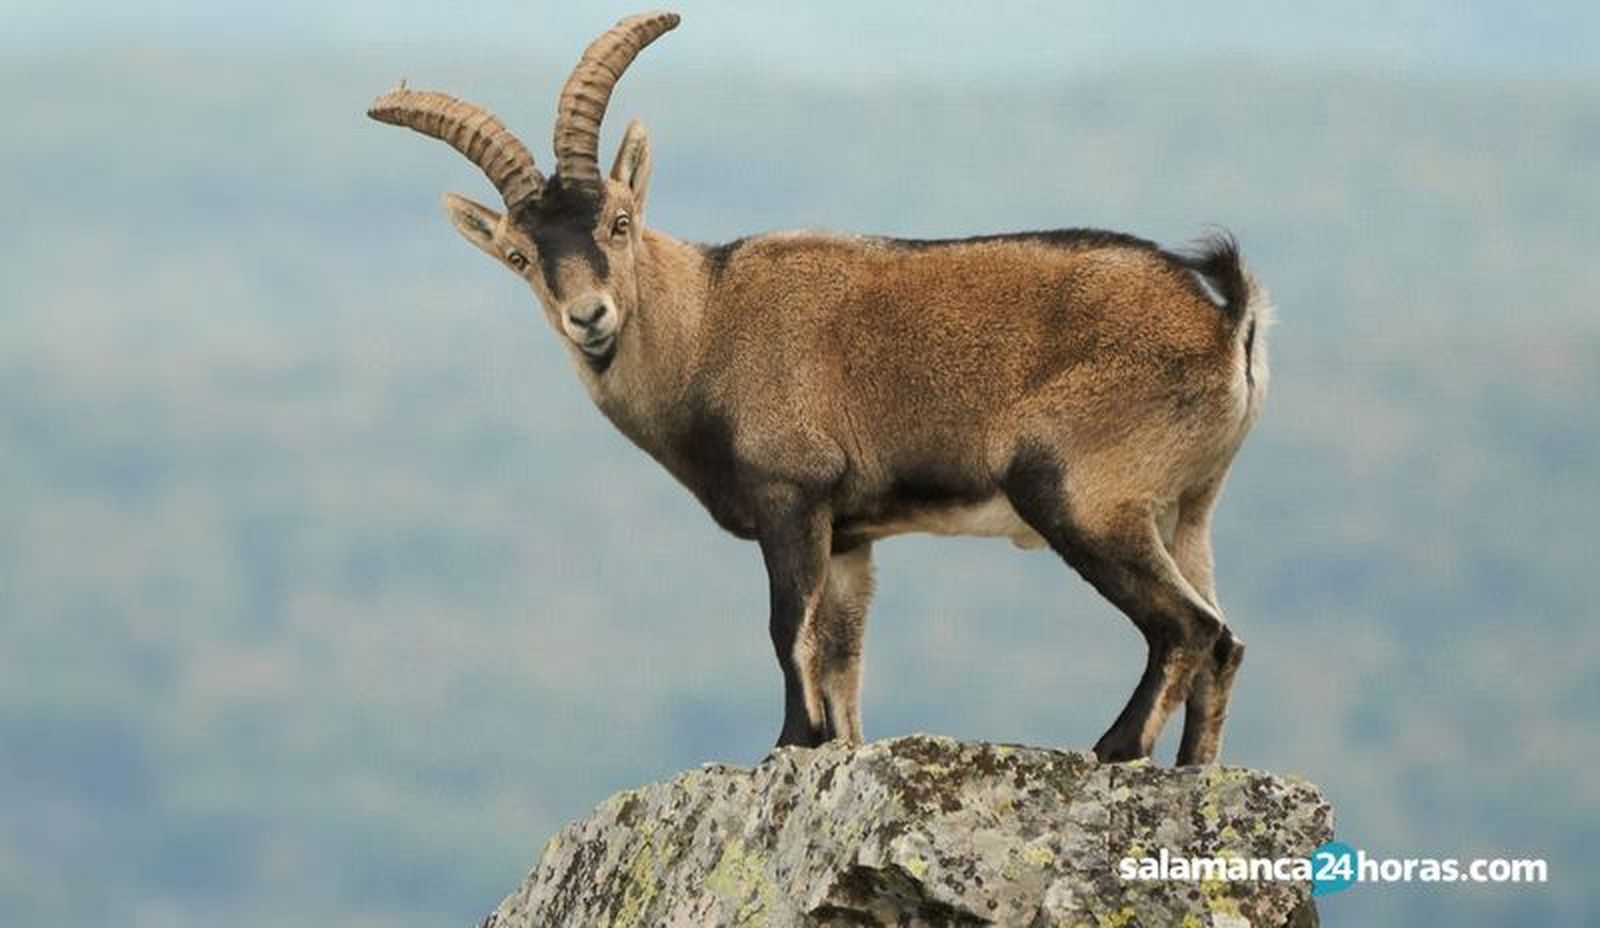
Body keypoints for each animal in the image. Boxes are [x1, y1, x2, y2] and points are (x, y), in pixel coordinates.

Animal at [368, 10, 1271, 765]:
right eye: (520, 257)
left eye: (619, 222)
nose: (590, 317)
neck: (708, 325)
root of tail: (1227, 323)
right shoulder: (850, 536)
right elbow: (842, 656)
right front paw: (838, 746)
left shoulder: (792, 496)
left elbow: (785, 629)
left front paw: (789, 743)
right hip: (1185, 506)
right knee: (1224, 639)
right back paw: (1194, 771)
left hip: (1081, 491)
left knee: (1186, 627)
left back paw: (1114, 748)